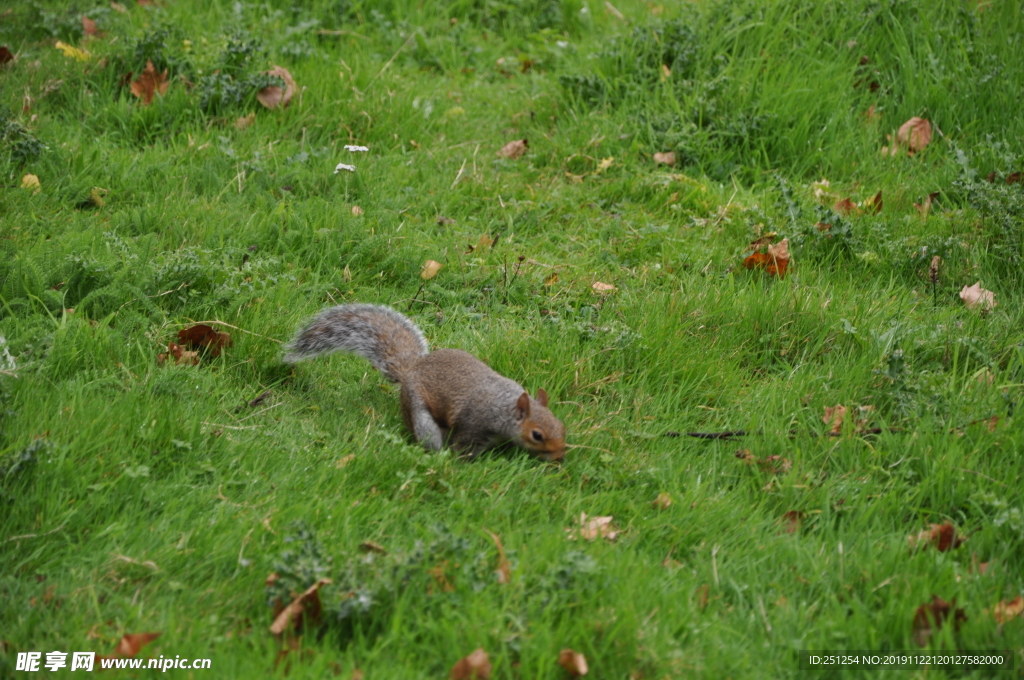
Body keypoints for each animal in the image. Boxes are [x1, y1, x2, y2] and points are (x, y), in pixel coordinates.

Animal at [284, 303, 565, 458]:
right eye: (537, 435)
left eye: (561, 426)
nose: (560, 457)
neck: (504, 407)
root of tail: (413, 368)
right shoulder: (473, 427)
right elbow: (463, 448)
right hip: (419, 411)